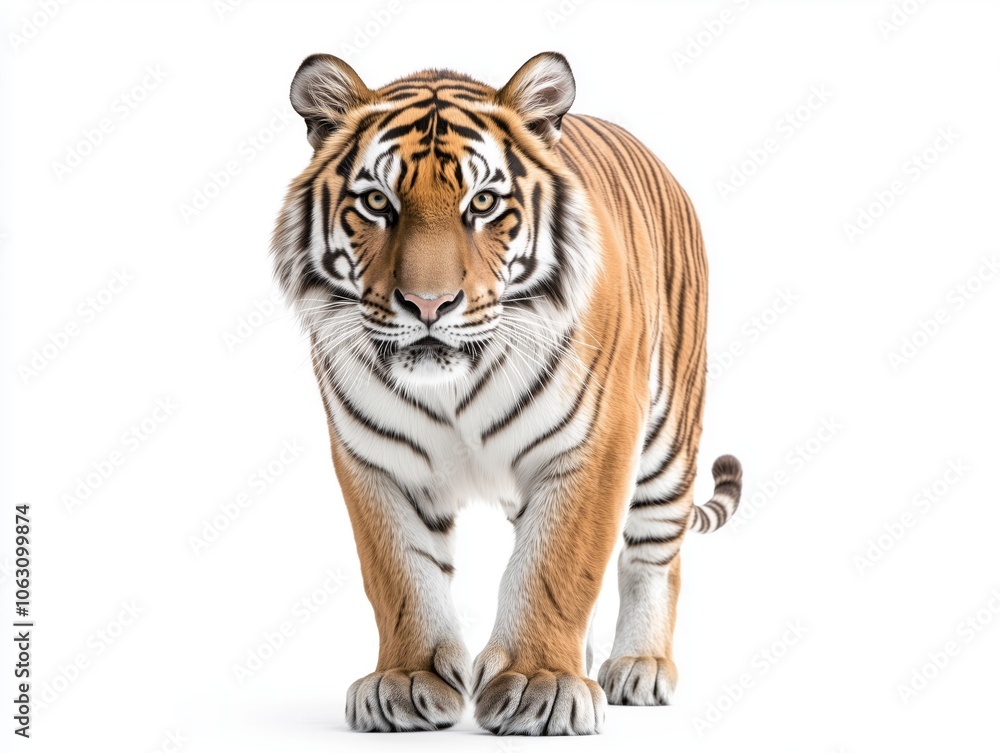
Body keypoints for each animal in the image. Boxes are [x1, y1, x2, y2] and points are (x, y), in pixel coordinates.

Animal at [271, 51, 742, 736]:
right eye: (378, 202)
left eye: (485, 202)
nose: (429, 304)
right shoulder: (375, 458)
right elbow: (399, 573)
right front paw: (406, 680)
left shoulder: (596, 445)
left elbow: (557, 568)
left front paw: (539, 683)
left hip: (668, 437)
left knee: (654, 554)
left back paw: (640, 666)